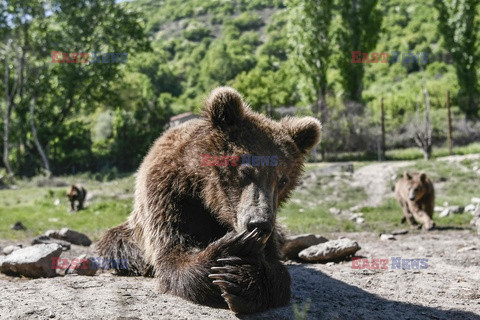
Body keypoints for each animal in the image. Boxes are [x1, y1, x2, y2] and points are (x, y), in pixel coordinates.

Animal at [96, 86, 322, 314]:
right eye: (245, 171)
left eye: (283, 180)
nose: (259, 224)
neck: (205, 194)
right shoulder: (168, 194)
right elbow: (173, 252)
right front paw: (230, 250)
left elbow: (276, 270)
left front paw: (242, 279)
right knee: (117, 243)